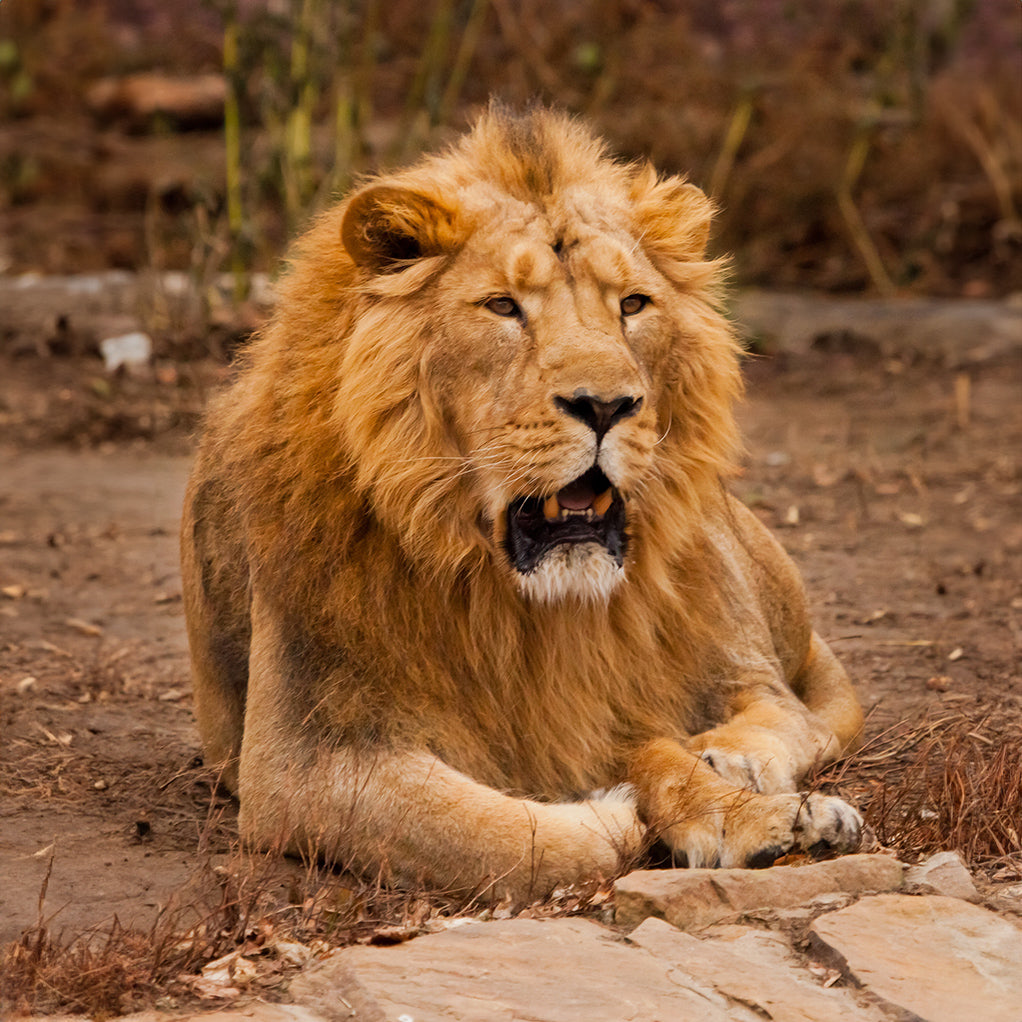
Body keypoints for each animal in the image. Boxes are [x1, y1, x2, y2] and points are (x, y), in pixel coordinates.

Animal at [181, 105, 864, 902]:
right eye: (504, 307)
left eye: (633, 305)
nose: (606, 405)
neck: (529, 608)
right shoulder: (299, 760)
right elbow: (494, 833)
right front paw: (614, 809)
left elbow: (710, 739)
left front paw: (743, 798)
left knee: (788, 712)